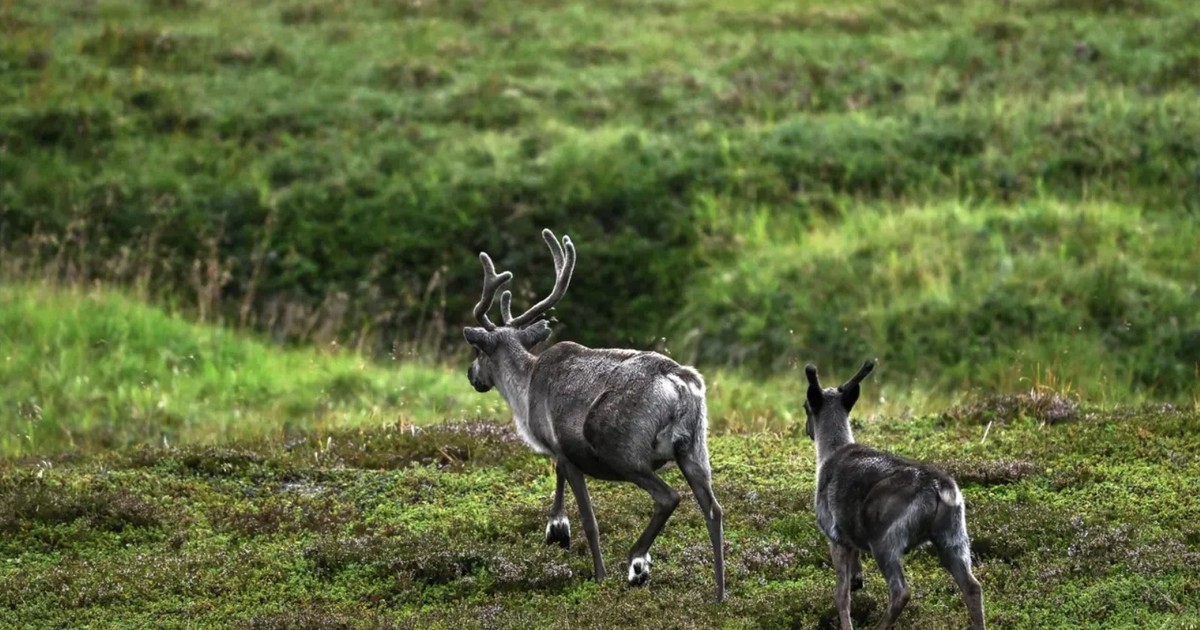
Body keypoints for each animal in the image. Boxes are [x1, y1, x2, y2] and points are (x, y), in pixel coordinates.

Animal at [806, 357, 984, 628]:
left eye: (805, 406)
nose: (807, 429)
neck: (829, 453)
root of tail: (940, 488)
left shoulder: (835, 535)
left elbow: (841, 595)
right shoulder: (852, 538)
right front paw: (858, 580)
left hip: (886, 541)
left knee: (900, 591)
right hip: (953, 536)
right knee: (973, 586)